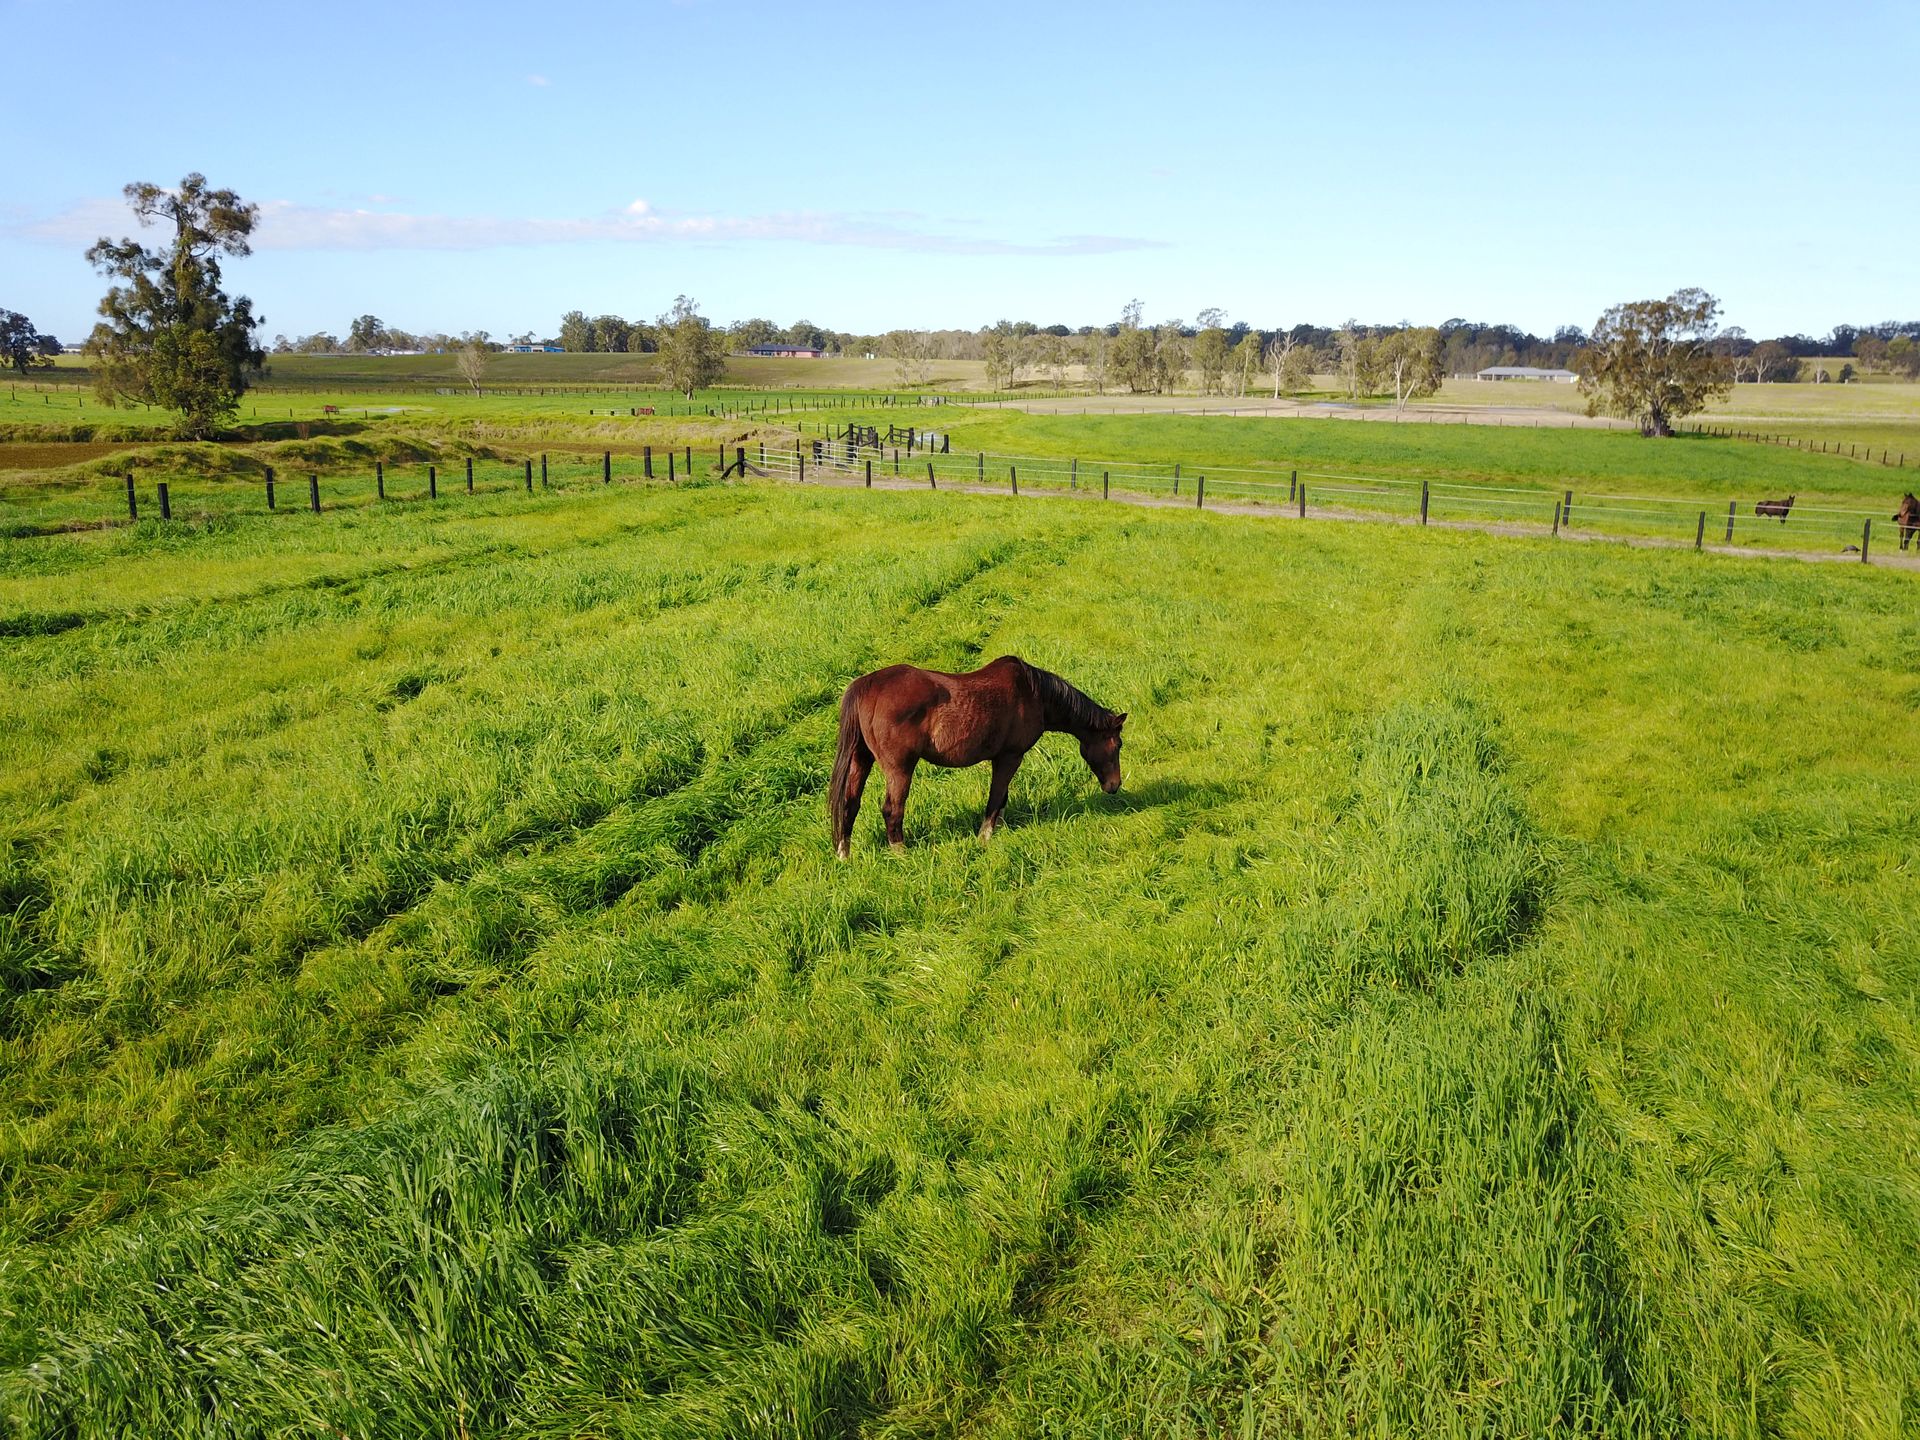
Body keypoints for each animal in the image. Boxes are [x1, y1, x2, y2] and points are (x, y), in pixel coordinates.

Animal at [828, 655, 1126, 857]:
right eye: (1118, 744)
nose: (1115, 786)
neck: (1035, 694)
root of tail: (868, 686)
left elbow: (1002, 796)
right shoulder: (1010, 756)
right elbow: (996, 796)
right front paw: (985, 836)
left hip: (861, 760)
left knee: (850, 804)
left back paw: (844, 854)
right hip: (900, 768)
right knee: (892, 809)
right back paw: (901, 853)